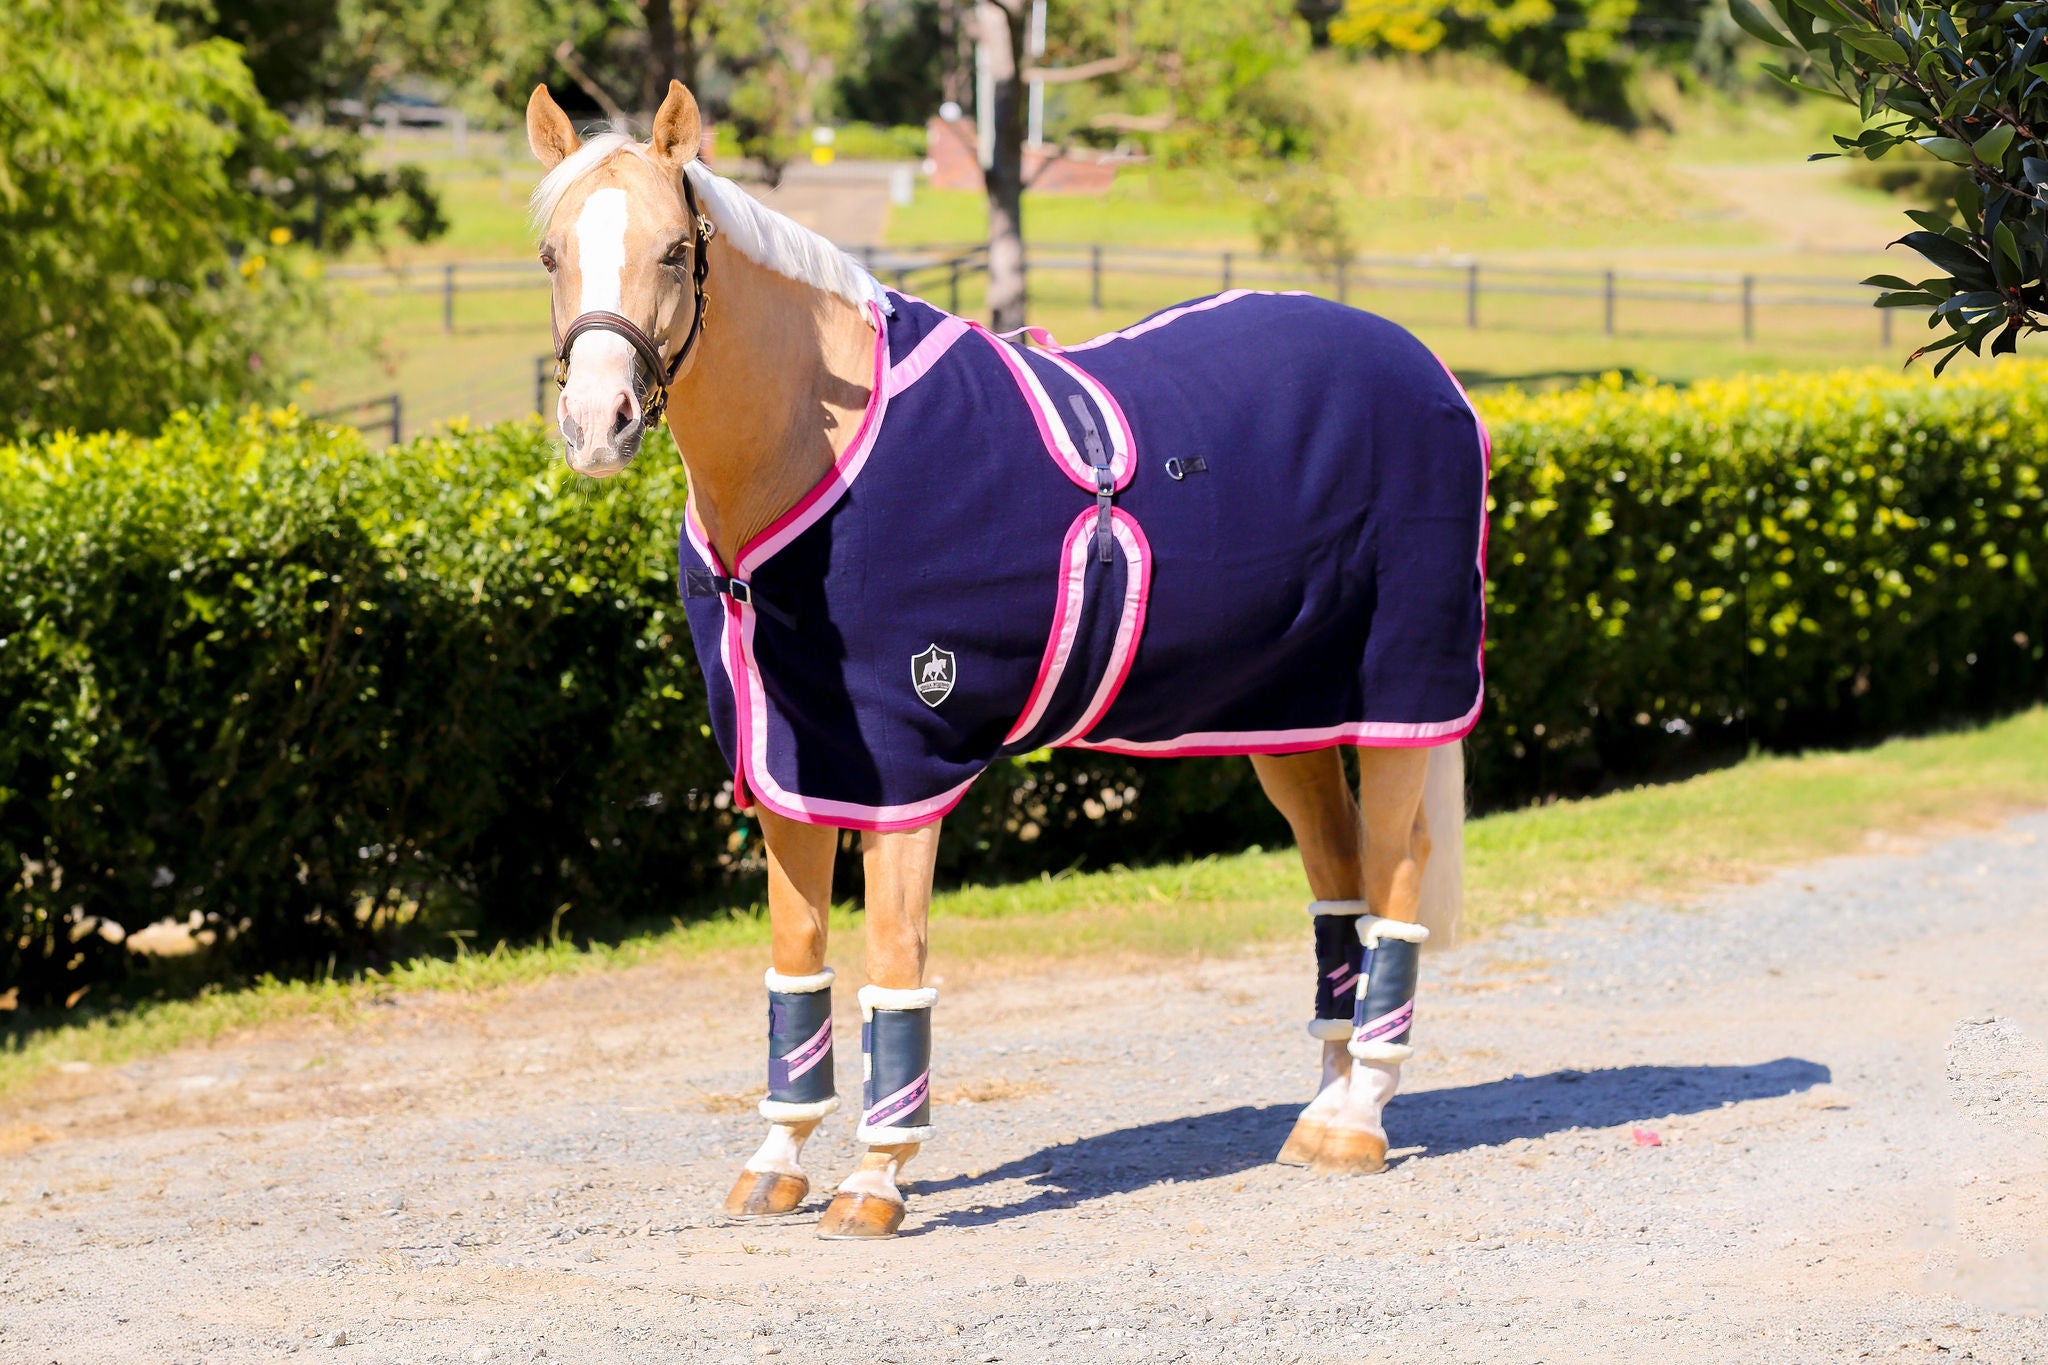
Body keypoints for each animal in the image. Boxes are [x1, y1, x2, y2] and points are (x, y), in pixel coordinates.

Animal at [528, 80, 1490, 1244]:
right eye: (549, 254)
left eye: (674, 250)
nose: (597, 422)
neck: (819, 458)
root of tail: (1426, 368)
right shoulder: (786, 766)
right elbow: (796, 958)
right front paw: (778, 1159)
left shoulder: (903, 768)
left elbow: (894, 964)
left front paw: (877, 1177)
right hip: (1288, 720)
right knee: (1337, 885)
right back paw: (1325, 1104)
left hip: (1401, 697)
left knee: (1394, 878)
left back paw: (1360, 1118)